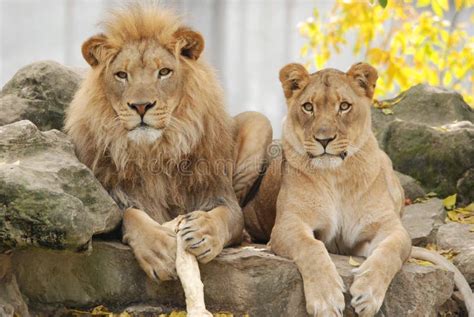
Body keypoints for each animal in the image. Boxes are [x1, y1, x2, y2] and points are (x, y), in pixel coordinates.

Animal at [64, 4, 270, 282]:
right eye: (121, 75)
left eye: (164, 72)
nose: (141, 106)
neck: (157, 150)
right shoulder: (107, 199)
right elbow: (130, 214)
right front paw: (158, 250)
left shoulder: (221, 195)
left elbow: (225, 216)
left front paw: (203, 232)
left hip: (260, 123)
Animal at [262, 63, 474, 314]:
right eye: (308, 107)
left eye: (344, 106)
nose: (324, 140)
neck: (336, 175)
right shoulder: (287, 224)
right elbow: (311, 246)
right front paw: (325, 299)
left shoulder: (390, 227)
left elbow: (390, 252)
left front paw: (367, 294)